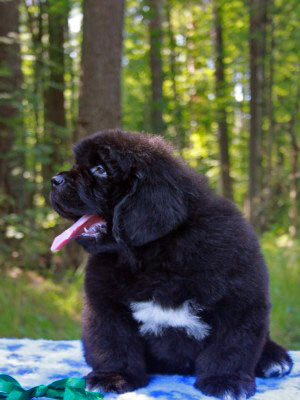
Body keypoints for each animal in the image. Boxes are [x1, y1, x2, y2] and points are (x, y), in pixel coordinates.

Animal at [50, 130, 292, 398]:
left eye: (100, 169)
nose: (54, 180)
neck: (155, 256)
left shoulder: (239, 301)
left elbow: (230, 347)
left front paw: (225, 381)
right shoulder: (105, 305)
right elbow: (112, 343)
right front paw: (113, 376)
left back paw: (274, 359)